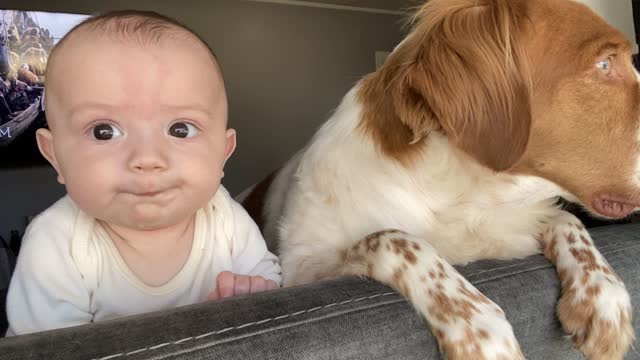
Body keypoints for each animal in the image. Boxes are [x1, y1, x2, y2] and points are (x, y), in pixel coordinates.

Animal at [242, 0, 636, 358]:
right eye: (604, 63)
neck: (459, 194)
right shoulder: (299, 269)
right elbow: (394, 238)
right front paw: (481, 329)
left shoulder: (514, 229)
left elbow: (567, 219)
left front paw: (606, 298)